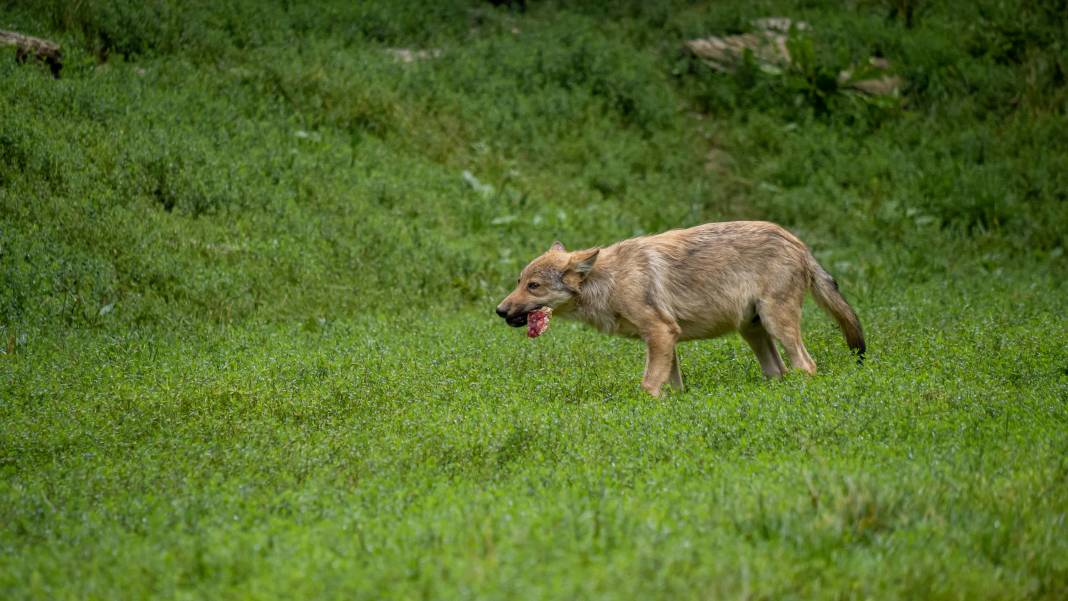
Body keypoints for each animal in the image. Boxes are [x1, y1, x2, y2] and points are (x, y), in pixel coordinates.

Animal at [495, 223, 862, 397]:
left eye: (534, 286)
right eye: (519, 281)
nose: (499, 310)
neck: (610, 280)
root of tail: (798, 243)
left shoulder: (661, 333)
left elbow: (646, 387)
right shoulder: (666, 340)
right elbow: (673, 387)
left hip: (777, 324)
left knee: (807, 366)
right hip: (753, 330)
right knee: (779, 371)